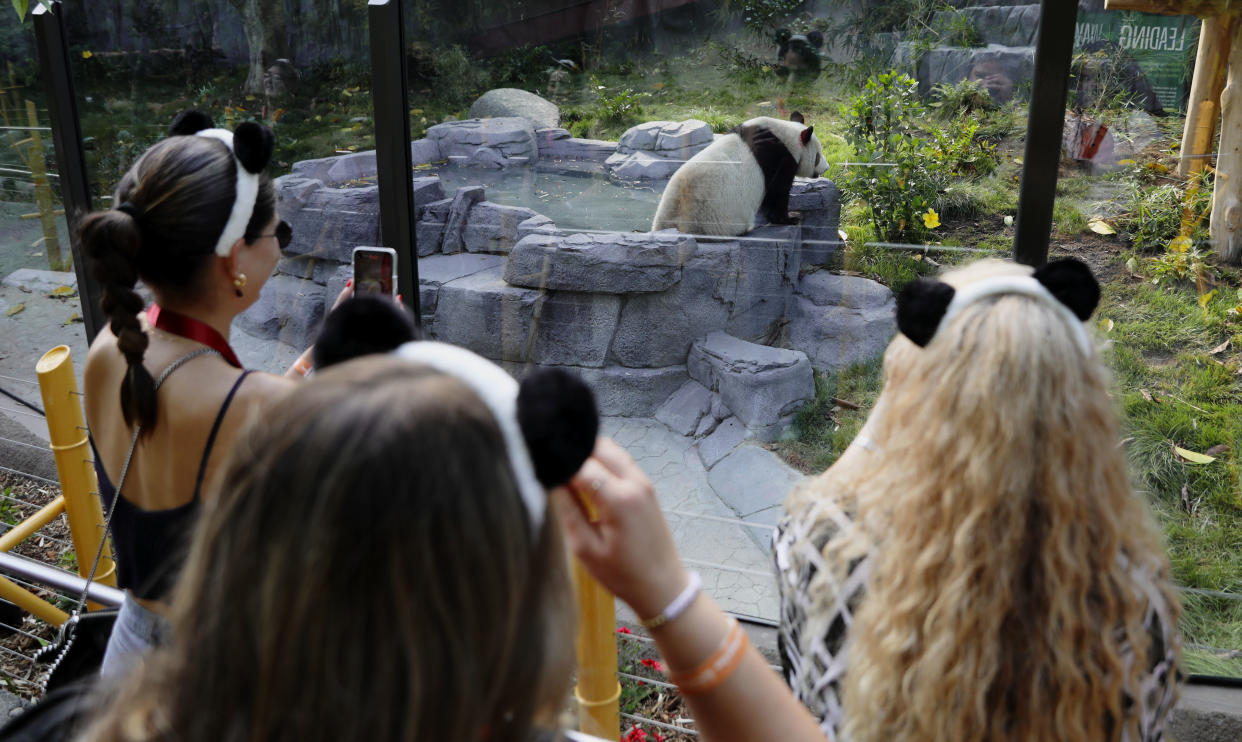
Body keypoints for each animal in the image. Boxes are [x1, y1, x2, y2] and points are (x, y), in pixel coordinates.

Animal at [650, 113, 824, 237]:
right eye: (817, 156)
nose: (826, 167)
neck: (786, 136)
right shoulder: (779, 158)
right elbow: (777, 192)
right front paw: (790, 218)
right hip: (717, 217)